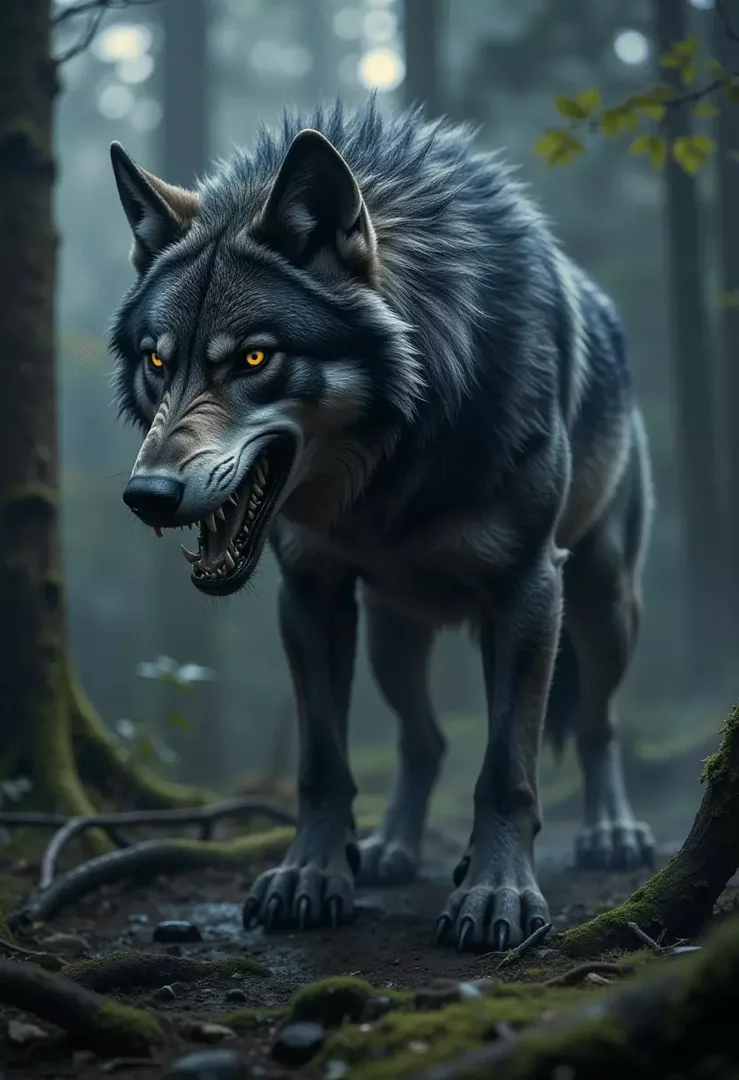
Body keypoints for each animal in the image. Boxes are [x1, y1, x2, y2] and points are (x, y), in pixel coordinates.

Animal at [109, 98, 655, 952]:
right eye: (157, 361)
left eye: (255, 358)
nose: (148, 495)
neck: (391, 469)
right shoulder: (311, 591)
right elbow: (322, 764)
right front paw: (310, 875)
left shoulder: (529, 584)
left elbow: (508, 769)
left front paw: (496, 892)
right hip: (396, 633)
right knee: (423, 741)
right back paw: (395, 848)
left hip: (602, 607)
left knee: (596, 724)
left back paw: (610, 834)